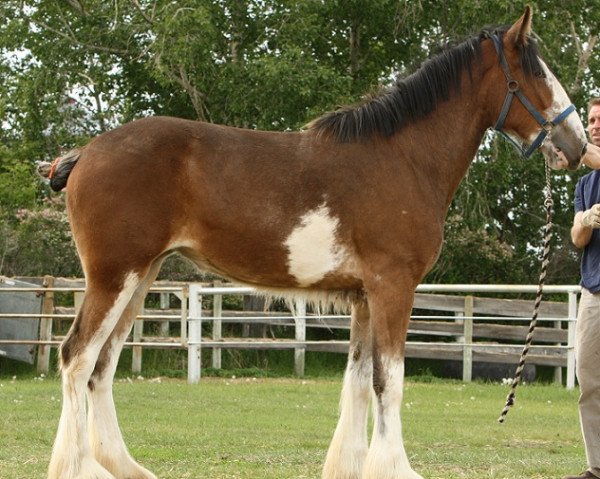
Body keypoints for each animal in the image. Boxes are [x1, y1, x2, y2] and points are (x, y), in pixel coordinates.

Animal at [39, 6, 588, 479]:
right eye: (537, 73)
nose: (578, 144)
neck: (404, 159)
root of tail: (85, 152)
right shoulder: (394, 287)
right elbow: (389, 381)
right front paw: (396, 468)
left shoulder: (365, 297)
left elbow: (359, 382)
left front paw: (353, 466)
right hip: (115, 277)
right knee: (77, 358)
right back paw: (81, 468)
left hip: (141, 278)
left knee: (102, 367)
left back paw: (125, 467)